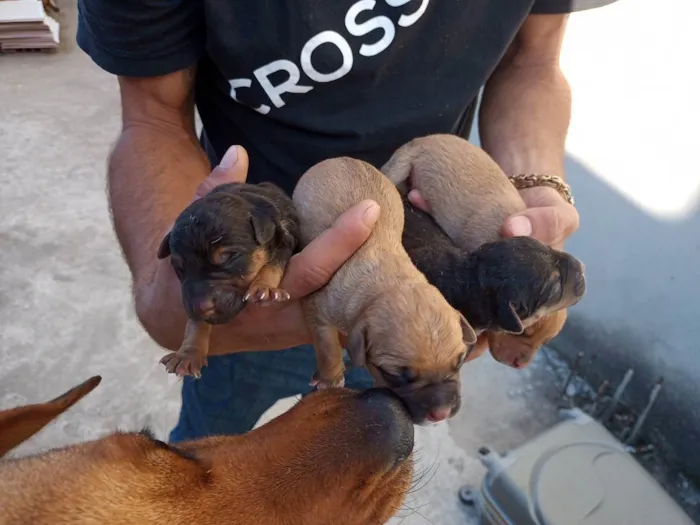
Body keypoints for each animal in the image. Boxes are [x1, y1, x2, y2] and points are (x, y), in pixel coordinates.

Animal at [157, 182, 300, 378]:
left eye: (229, 256)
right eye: (179, 268)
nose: (203, 307)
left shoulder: (286, 238)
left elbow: (273, 264)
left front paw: (263, 288)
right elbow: (195, 321)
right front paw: (188, 354)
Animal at [290, 157, 476, 426]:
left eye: (460, 361)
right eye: (394, 375)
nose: (440, 414)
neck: (389, 280)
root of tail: (340, 158)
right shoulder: (319, 308)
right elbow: (327, 347)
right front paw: (330, 377)